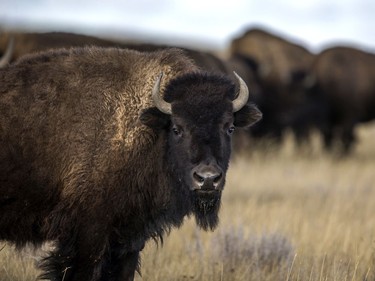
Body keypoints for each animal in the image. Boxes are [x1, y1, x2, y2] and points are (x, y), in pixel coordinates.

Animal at [0, 46, 262, 280]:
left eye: (229, 128)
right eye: (177, 128)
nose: (207, 179)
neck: (148, 132)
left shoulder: (129, 239)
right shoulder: (87, 236)